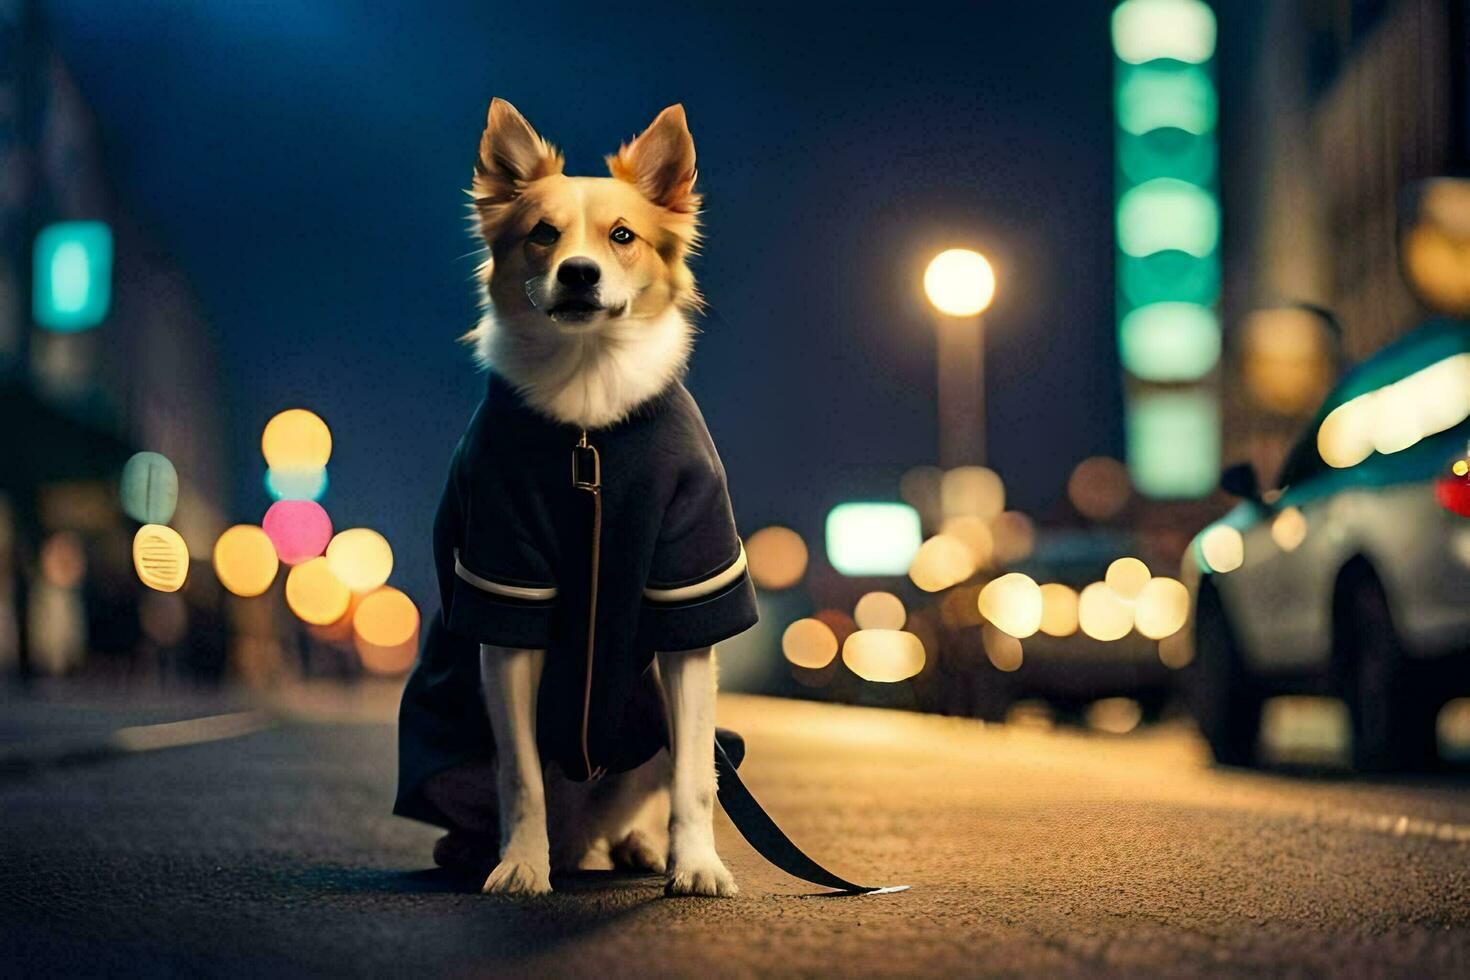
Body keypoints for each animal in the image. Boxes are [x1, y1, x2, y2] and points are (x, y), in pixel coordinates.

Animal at [393, 97, 758, 899]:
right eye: (541, 234)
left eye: (622, 236)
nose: (580, 273)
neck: (589, 401)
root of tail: (581, 831)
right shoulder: (508, 593)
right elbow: (521, 775)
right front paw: (521, 866)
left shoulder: (687, 595)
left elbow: (696, 780)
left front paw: (698, 863)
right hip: (450, 763)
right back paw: (494, 852)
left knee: (657, 787)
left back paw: (638, 846)